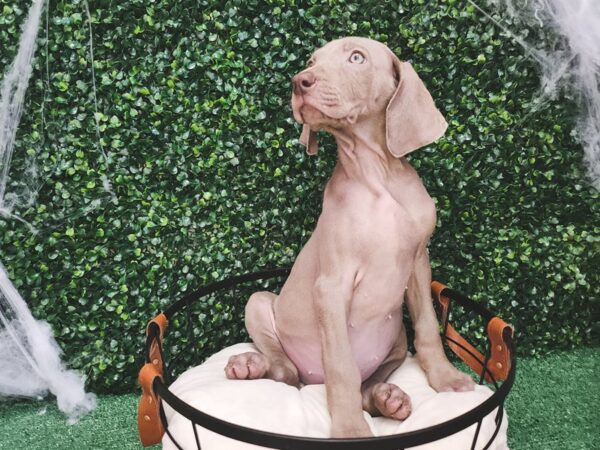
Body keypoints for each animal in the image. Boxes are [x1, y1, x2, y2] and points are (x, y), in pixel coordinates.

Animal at [225, 37, 474, 438]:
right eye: (311, 61)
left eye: (357, 58)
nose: (299, 81)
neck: (377, 177)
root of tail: (310, 380)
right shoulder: (331, 285)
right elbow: (341, 367)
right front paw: (350, 430)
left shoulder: (419, 263)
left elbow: (428, 329)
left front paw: (446, 378)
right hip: (258, 304)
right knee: (284, 372)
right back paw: (250, 364)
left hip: (396, 337)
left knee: (365, 385)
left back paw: (387, 398)